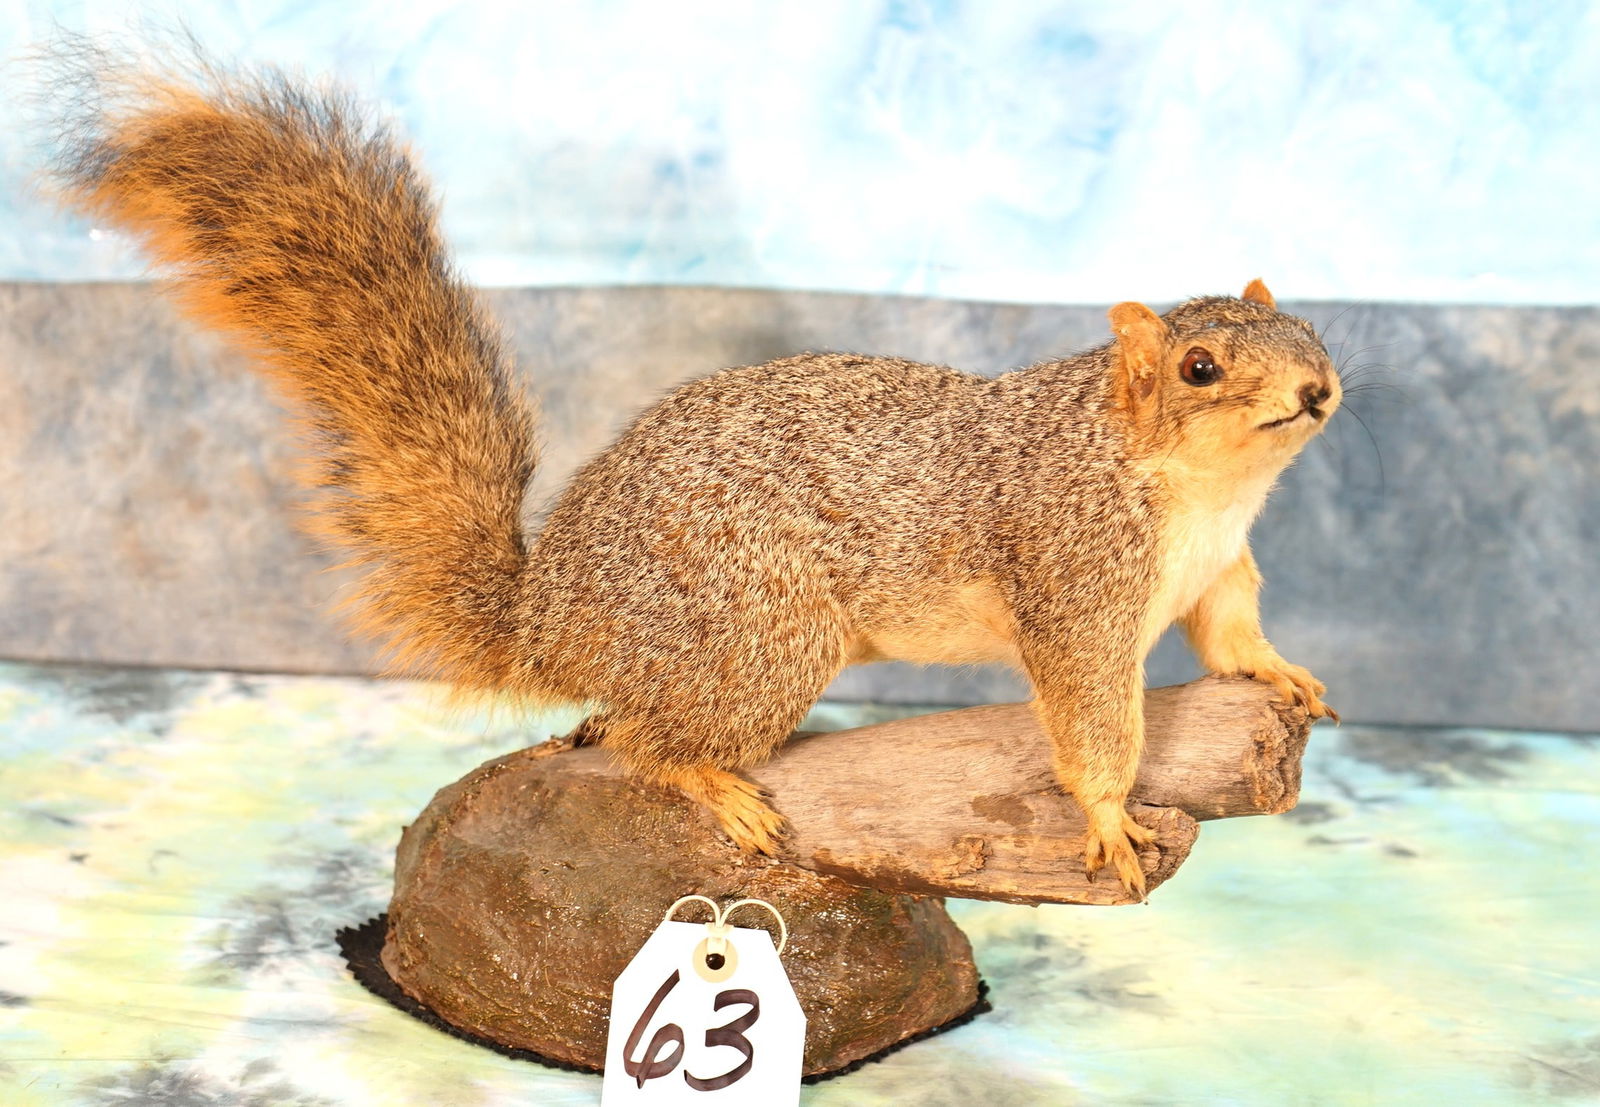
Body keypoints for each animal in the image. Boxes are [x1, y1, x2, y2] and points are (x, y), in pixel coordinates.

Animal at [47, 53, 1338, 897]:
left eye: (1310, 328)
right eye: (1201, 365)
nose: (1321, 389)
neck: (1198, 487)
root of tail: (549, 617)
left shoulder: (1219, 566)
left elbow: (1231, 633)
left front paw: (1281, 672)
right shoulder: (1076, 576)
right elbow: (1089, 715)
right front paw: (1111, 818)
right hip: (758, 626)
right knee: (646, 741)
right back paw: (709, 782)